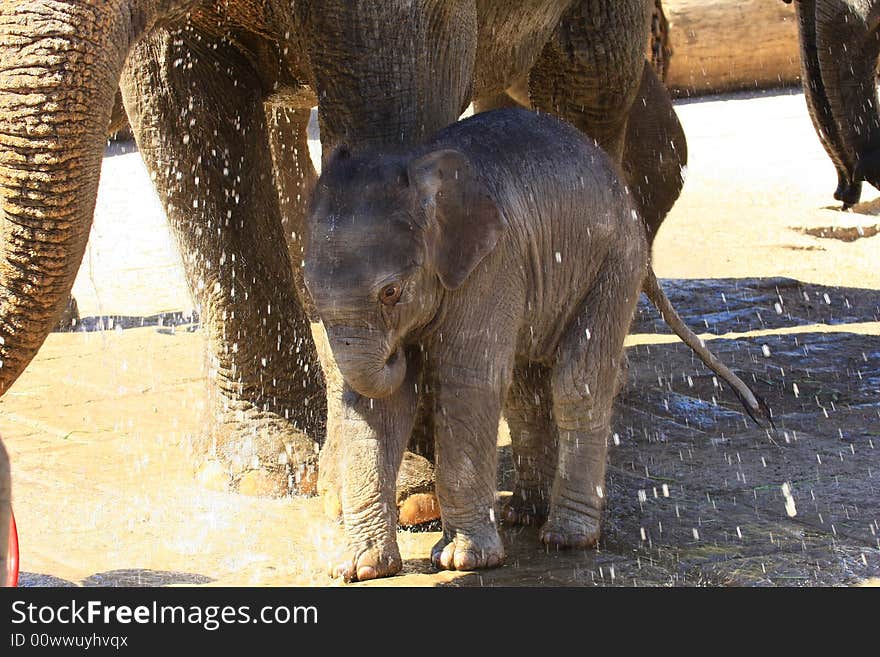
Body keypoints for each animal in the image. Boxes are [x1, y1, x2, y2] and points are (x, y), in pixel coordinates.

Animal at [306, 107, 768, 580]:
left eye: (391, 292)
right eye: (309, 292)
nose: (398, 352)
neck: (418, 162)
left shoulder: (491, 265)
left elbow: (468, 384)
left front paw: (463, 560)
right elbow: (378, 405)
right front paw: (358, 568)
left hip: (614, 264)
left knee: (577, 383)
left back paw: (566, 536)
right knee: (525, 392)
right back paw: (525, 513)